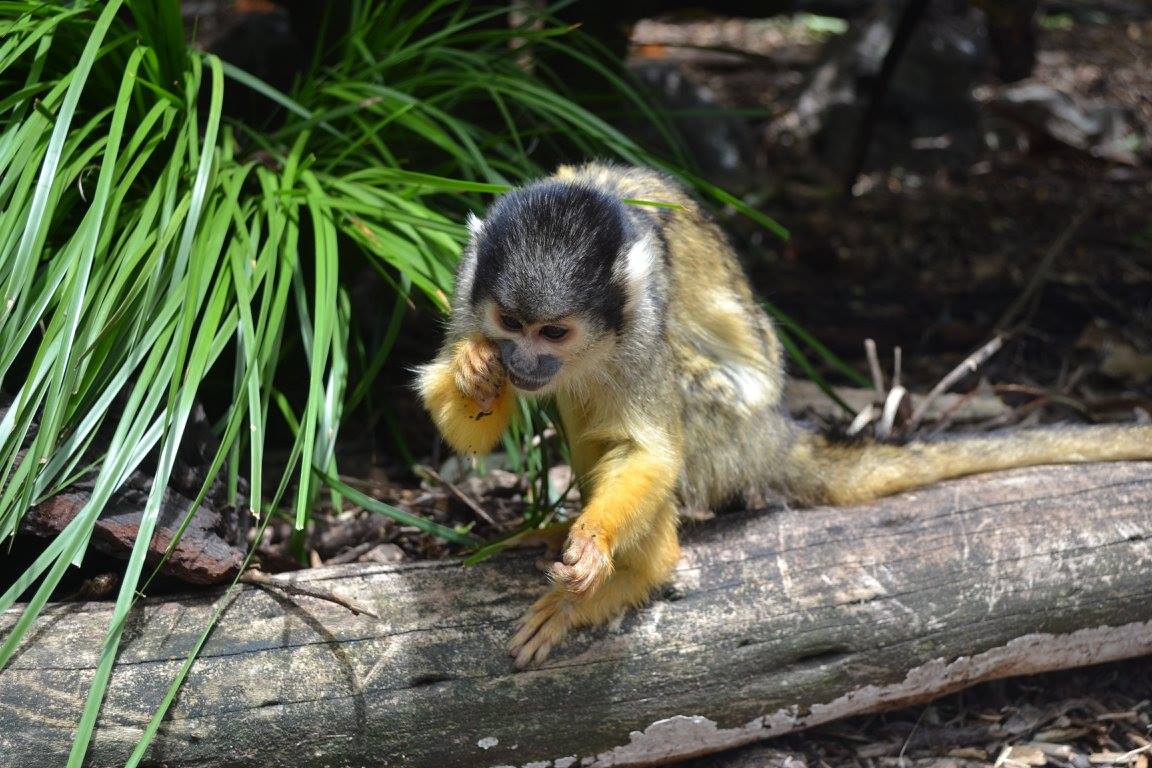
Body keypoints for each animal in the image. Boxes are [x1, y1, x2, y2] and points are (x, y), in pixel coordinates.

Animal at [416, 162, 1152, 669]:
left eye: (554, 332)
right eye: (510, 324)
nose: (522, 361)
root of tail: (776, 432)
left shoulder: (641, 317)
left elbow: (649, 449)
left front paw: (596, 544)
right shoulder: (466, 285)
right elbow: (466, 429)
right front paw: (474, 372)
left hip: (729, 433)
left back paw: (633, 575)